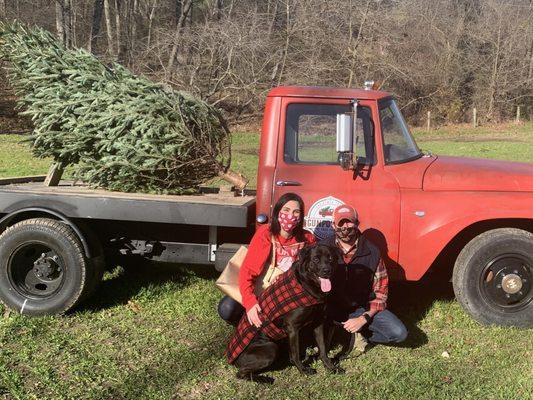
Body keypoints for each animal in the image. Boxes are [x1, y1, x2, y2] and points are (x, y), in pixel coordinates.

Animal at [231, 244, 342, 378]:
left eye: (330, 258)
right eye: (315, 259)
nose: (327, 271)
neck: (306, 285)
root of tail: (234, 361)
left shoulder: (318, 322)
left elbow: (323, 348)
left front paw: (331, 367)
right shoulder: (292, 327)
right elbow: (295, 353)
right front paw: (303, 370)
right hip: (270, 348)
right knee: (240, 373)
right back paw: (266, 380)